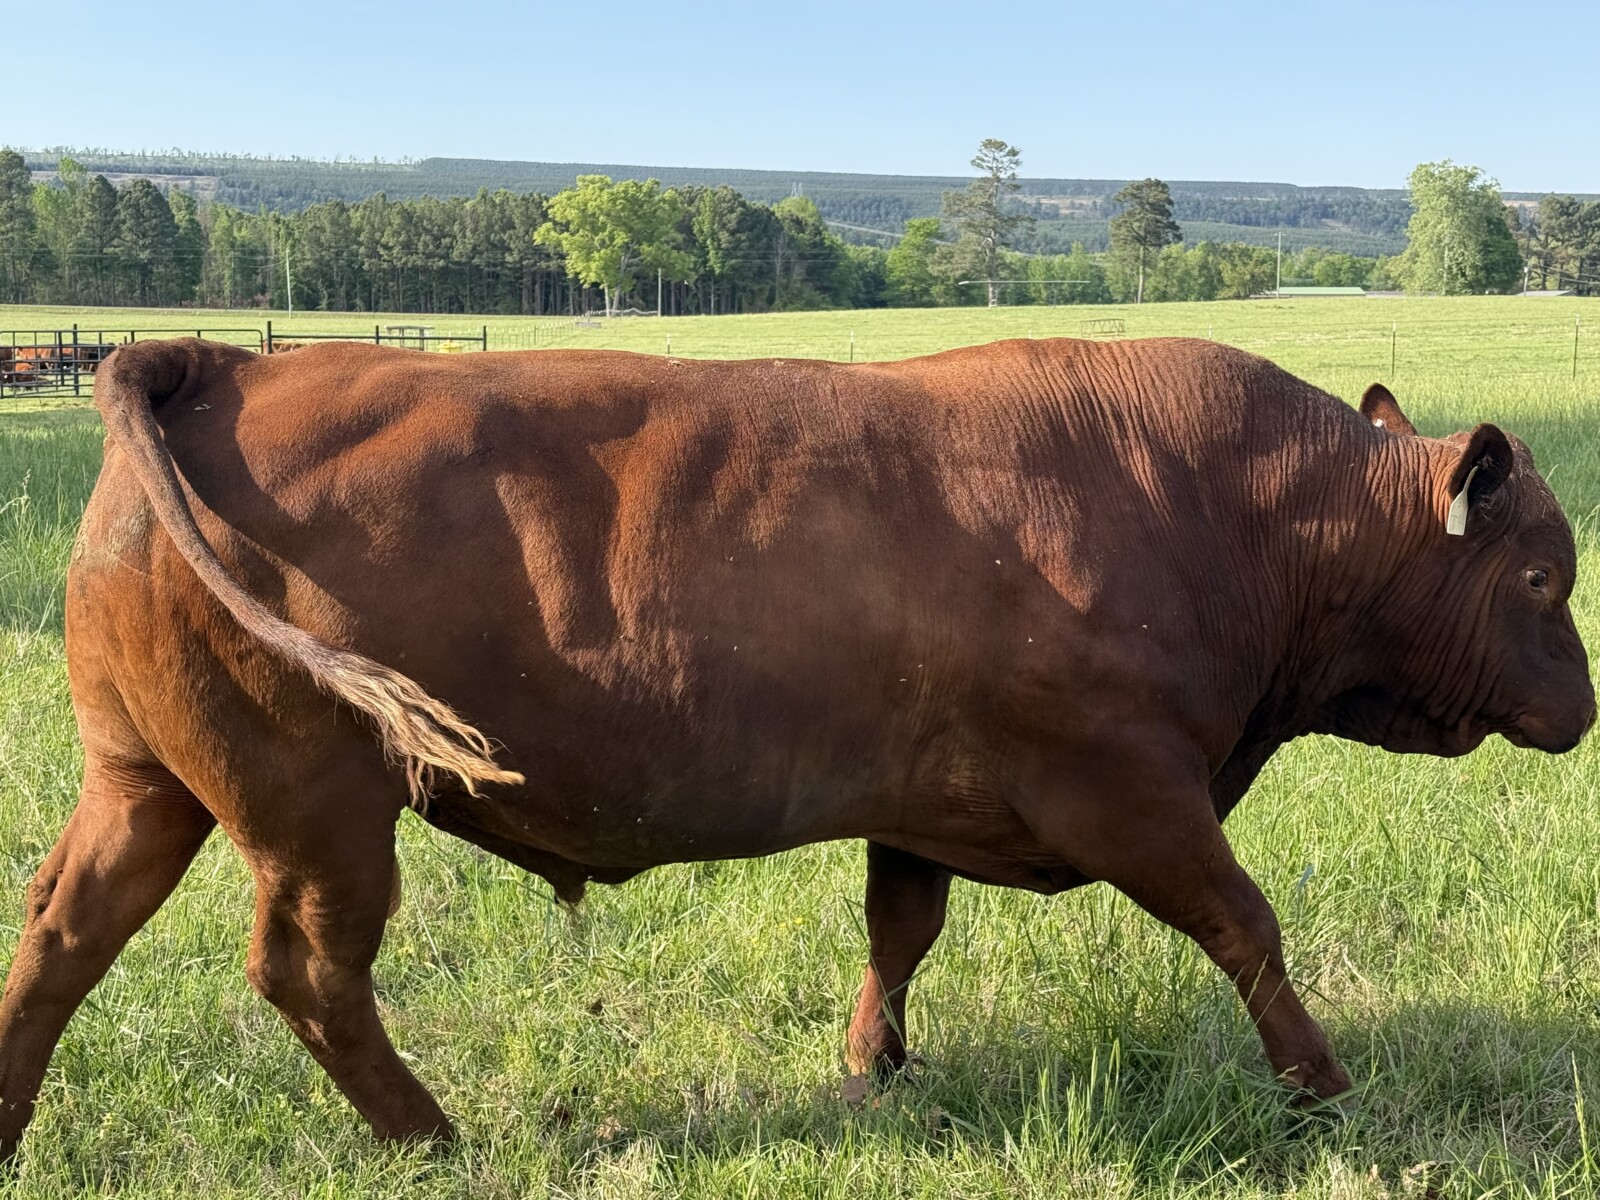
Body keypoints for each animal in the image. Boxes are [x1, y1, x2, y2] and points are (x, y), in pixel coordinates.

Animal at [0, 336, 1592, 1159]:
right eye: (1538, 578)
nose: (1583, 709)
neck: (1220, 507)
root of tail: (211, 363)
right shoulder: (1134, 794)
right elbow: (1247, 926)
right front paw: (1322, 1086)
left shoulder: (924, 803)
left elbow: (901, 932)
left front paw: (870, 1066)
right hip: (317, 811)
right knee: (307, 972)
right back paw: (432, 1138)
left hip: (148, 784)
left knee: (61, 936)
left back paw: (14, 1123)